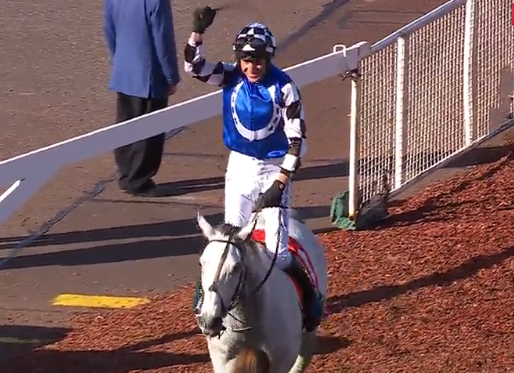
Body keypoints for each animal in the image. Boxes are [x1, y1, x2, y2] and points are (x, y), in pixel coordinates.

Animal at [194, 209, 326, 372]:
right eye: (201, 263)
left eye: (236, 267)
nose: (209, 320)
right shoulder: (223, 361)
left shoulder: (281, 361)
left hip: (309, 334)